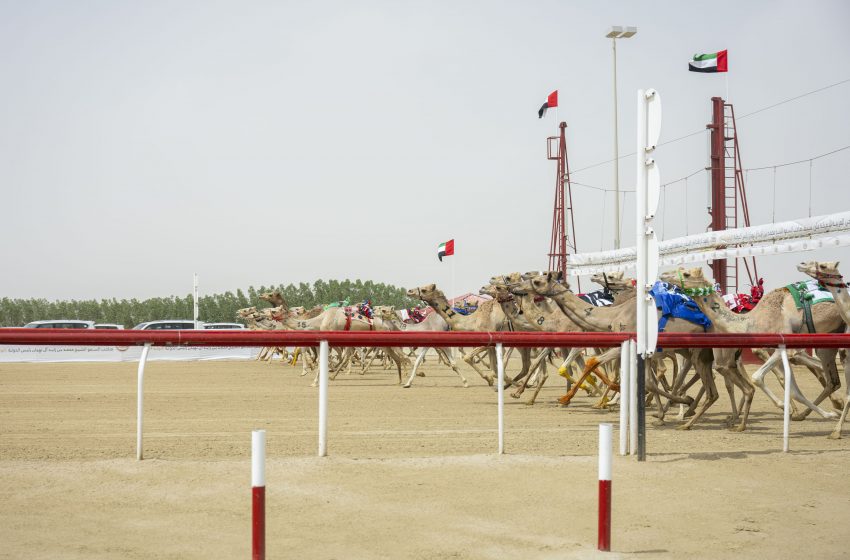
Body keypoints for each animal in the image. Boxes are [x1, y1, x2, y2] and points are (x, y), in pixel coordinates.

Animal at [660, 266, 840, 420]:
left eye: (686, 274)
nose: (663, 275)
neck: (749, 321)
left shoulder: (782, 347)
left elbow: (757, 377)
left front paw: (786, 407)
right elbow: (792, 387)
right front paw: (826, 414)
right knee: (828, 374)